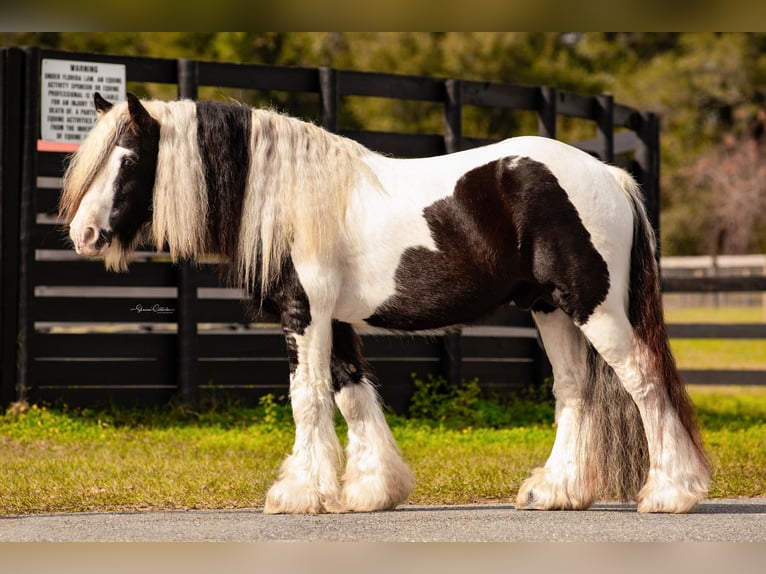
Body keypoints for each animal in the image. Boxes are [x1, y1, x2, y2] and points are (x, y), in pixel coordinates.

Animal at [61, 92, 712, 516]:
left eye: (128, 159)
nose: (83, 235)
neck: (290, 200)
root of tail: (608, 175)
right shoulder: (334, 321)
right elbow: (351, 394)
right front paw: (374, 491)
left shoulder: (305, 315)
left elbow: (308, 397)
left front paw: (300, 494)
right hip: (549, 308)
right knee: (575, 389)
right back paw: (557, 491)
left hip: (594, 308)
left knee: (644, 380)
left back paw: (670, 494)